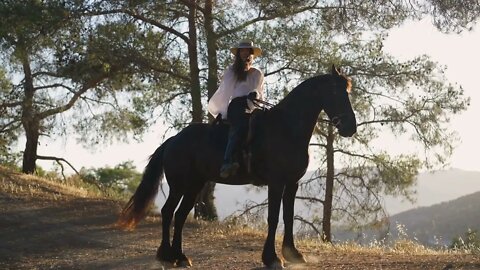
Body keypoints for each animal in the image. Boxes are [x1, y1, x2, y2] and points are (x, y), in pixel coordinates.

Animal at [118, 65, 358, 268]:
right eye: (335, 92)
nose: (350, 127)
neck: (286, 128)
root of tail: (173, 140)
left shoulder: (292, 183)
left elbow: (288, 217)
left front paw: (293, 254)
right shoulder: (276, 183)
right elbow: (273, 218)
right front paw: (272, 258)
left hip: (195, 185)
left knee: (180, 215)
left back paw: (181, 257)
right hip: (179, 185)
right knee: (168, 212)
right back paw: (166, 256)